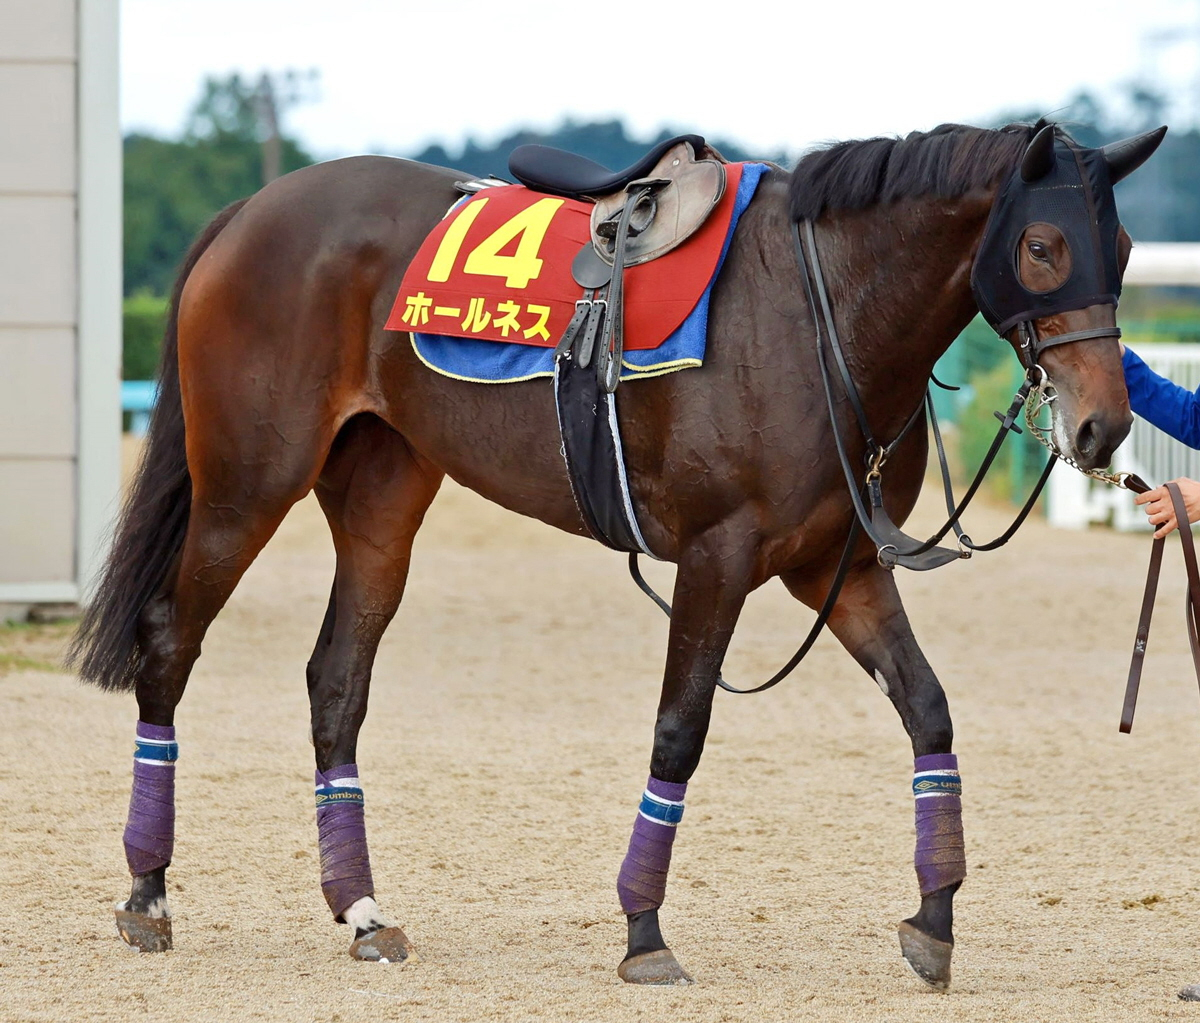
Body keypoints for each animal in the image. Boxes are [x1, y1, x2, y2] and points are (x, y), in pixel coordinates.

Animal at [68, 115, 1161, 989]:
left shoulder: (839, 571)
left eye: (1123, 246)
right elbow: (679, 731)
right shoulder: (719, 560)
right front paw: (643, 929)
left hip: (381, 497)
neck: (819, 313)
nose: (1105, 426)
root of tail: (252, 209)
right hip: (247, 486)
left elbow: (929, 713)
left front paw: (934, 919)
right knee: (168, 641)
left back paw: (362, 911)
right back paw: (148, 892)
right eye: (1044, 245)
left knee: (335, 682)